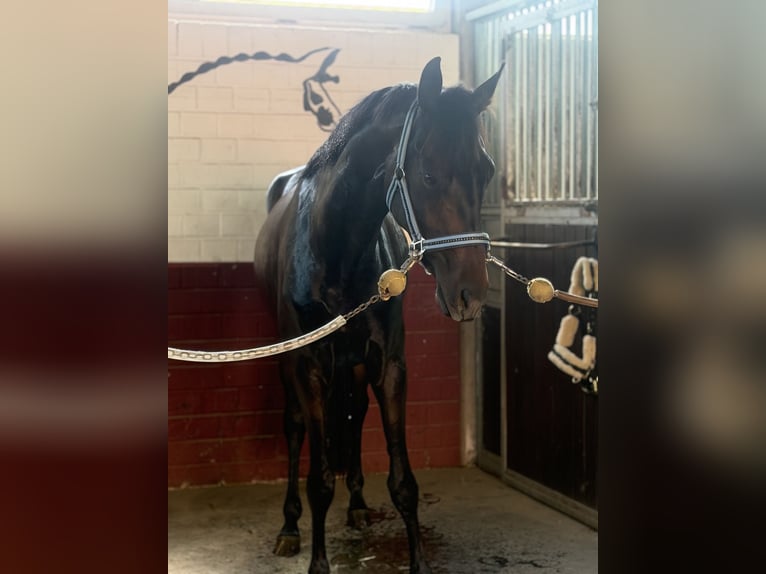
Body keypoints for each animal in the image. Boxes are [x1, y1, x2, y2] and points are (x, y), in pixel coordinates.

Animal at [254, 57, 503, 574]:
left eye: (487, 170)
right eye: (427, 174)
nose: (470, 295)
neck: (336, 251)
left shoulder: (388, 364)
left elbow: (403, 481)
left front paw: (419, 562)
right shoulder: (308, 366)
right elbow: (318, 479)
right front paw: (318, 563)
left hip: (353, 366)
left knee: (353, 417)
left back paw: (358, 506)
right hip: (289, 364)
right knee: (294, 428)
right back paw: (289, 527)